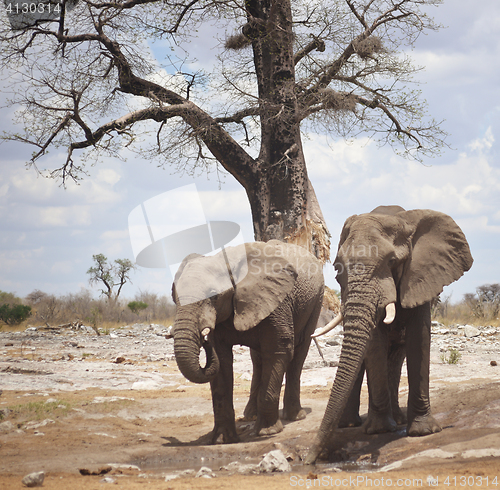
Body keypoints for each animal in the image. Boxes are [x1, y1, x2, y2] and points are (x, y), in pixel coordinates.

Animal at [172, 239, 324, 442]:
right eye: (174, 297)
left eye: (214, 295)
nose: (204, 338)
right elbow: (222, 361)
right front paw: (222, 439)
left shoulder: (276, 304)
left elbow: (279, 351)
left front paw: (268, 432)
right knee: (258, 359)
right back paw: (250, 416)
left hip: (315, 302)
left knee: (299, 354)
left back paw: (295, 416)